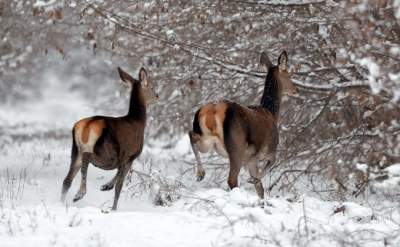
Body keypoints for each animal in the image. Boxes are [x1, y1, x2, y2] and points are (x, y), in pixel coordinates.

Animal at [61, 66, 158, 210]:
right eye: (151, 86)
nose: (157, 96)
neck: (139, 121)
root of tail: (87, 125)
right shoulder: (130, 155)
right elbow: (119, 185)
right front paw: (113, 206)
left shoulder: (124, 158)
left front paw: (106, 186)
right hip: (106, 152)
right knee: (87, 157)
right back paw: (80, 194)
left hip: (76, 150)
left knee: (67, 180)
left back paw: (62, 203)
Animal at [189, 51, 298, 200]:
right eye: (289, 75)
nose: (296, 89)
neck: (272, 114)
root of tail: (213, 110)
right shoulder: (268, 151)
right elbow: (268, 168)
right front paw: (253, 180)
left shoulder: (251, 159)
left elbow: (260, 190)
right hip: (236, 147)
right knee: (232, 179)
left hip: (207, 140)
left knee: (191, 135)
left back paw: (200, 173)